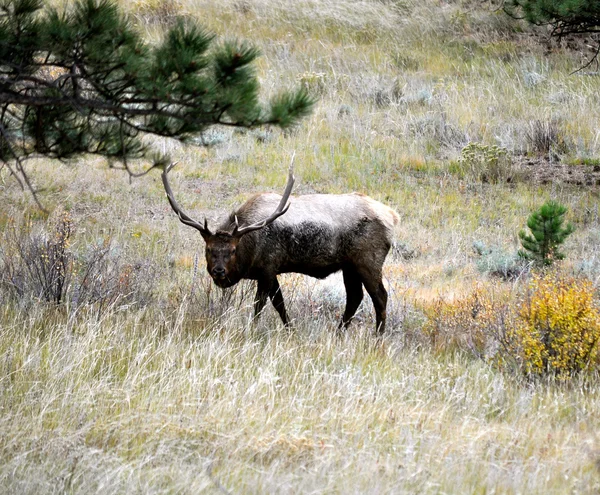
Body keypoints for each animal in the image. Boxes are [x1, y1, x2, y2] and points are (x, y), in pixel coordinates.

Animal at [162, 164, 400, 334]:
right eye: (209, 249)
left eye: (232, 250)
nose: (219, 271)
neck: (249, 247)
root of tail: (393, 216)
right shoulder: (269, 271)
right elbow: (280, 304)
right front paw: (290, 331)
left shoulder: (268, 267)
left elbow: (261, 305)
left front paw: (252, 330)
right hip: (349, 265)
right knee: (354, 297)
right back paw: (338, 333)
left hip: (368, 260)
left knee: (380, 296)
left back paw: (378, 337)